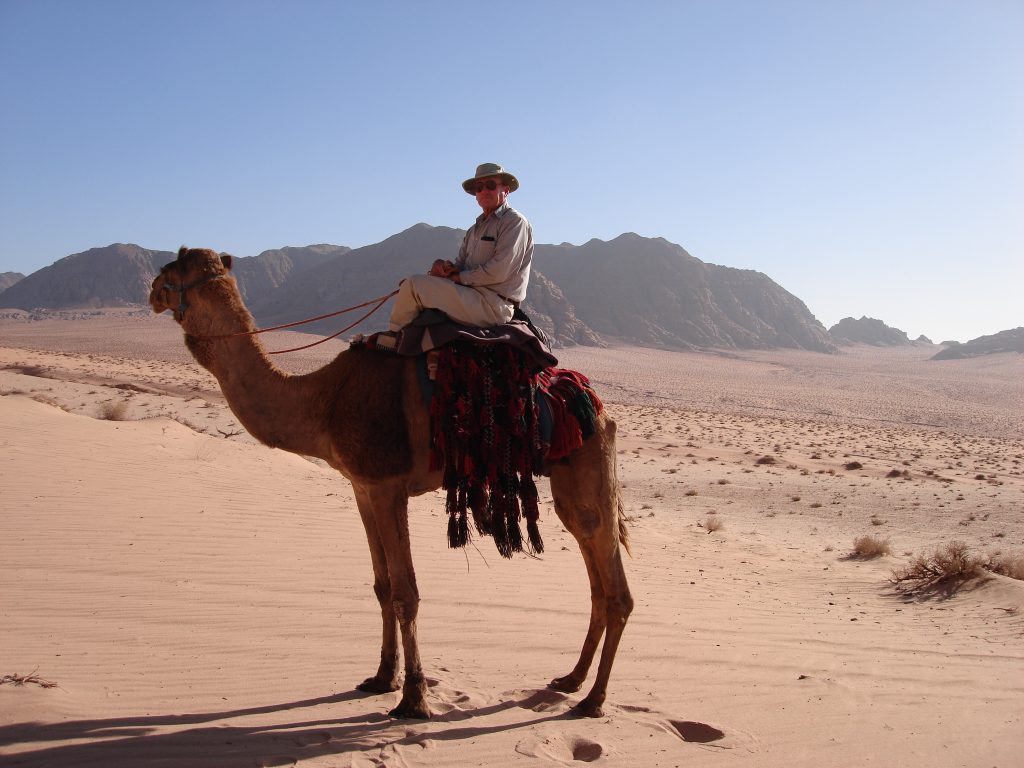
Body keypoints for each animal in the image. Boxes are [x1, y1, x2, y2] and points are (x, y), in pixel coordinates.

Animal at [149, 247, 633, 719]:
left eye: (176, 268)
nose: (153, 289)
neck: (323, 402)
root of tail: (593, 402)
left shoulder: (387, 485)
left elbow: (406, 592)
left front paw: (414, 699)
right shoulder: (362, 487)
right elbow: (382, 587)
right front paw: (382, 677)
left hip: (586, 465)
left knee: (614, 584)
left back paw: (593, 699)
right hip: (569, 480)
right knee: (594, 575)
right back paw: (570, 680)